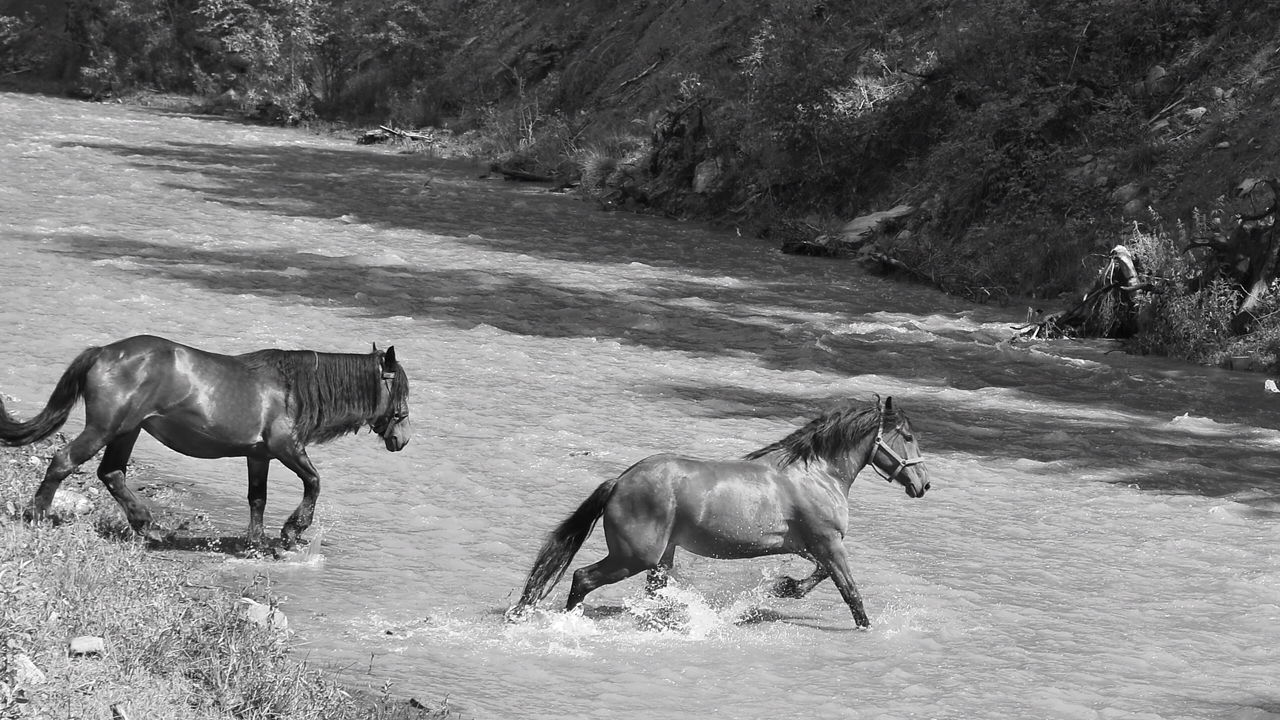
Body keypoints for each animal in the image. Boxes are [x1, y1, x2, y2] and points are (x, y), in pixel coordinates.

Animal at [0, 333, 409, 545]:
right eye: (401, 391)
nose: (402, 438)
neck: (291, 388)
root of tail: (102, 352)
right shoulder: (286, 448)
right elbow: (314, 482)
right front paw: (292, 531)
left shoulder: (259, 455)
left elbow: (257, 498)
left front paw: (256, 543)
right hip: (105, 428)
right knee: (64, 461)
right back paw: (37, 516)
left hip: (127, 430)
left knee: (112, 474)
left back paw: (149, 526)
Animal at [509, 394, 931, 625]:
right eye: (908, 436)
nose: (923, 484)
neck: (817, 474)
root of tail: (620, 481)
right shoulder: (828, 543)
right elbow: (850, 592)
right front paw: (865, 627)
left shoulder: (810, 546)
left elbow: (819, 577)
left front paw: (784, 587)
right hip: (633, 557)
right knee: (582, 578)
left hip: (661, 557)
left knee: (652, 593)